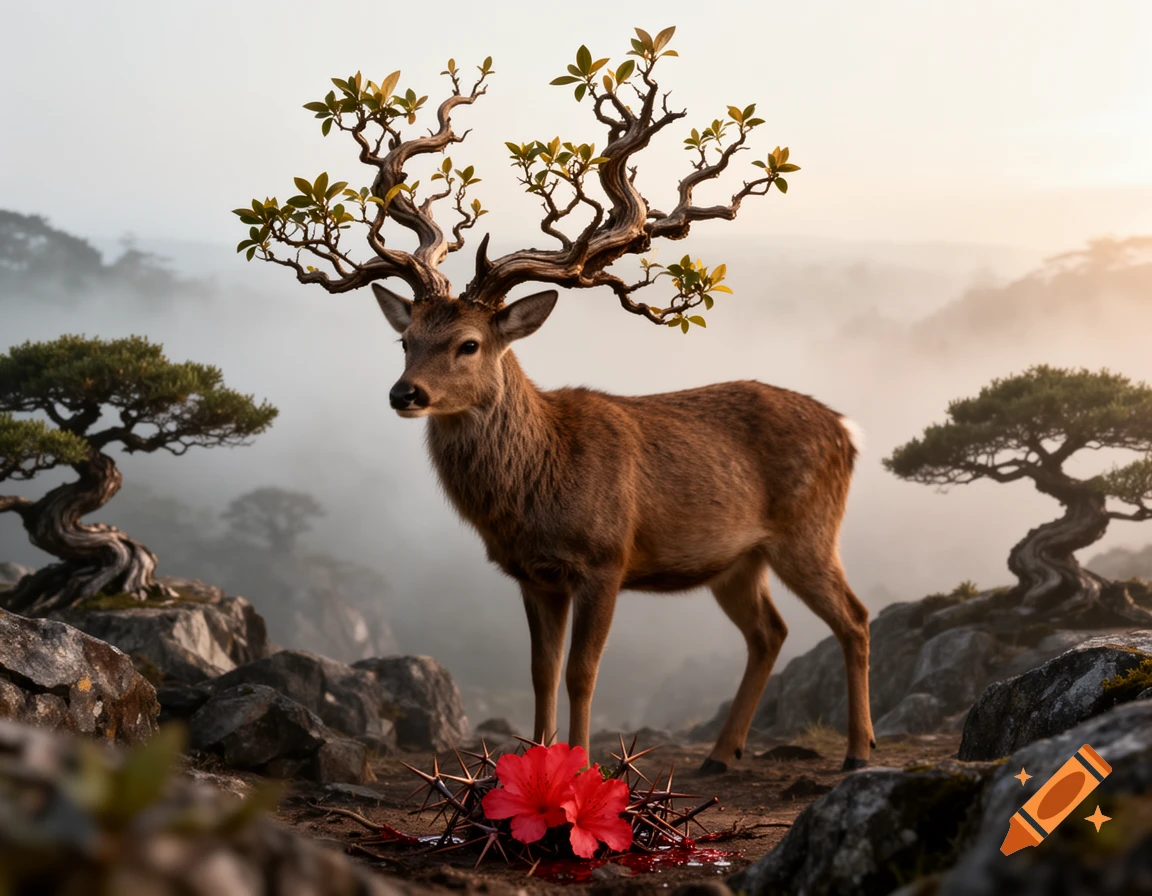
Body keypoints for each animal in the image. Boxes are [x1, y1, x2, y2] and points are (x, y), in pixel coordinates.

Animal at [234, 27, 875, 771]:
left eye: (469, 344)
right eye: (405, 339)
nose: (405, 392)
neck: (539, 483)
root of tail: (847, 430)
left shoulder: (605, 558)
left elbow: (581, 672)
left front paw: (580, 765)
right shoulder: (532, 574)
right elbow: (540, 670)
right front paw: (534, 763)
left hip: (809, 528)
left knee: (854, 618)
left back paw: (858, 751)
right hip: (738, 558)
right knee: (769, 632)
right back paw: (722, 754)